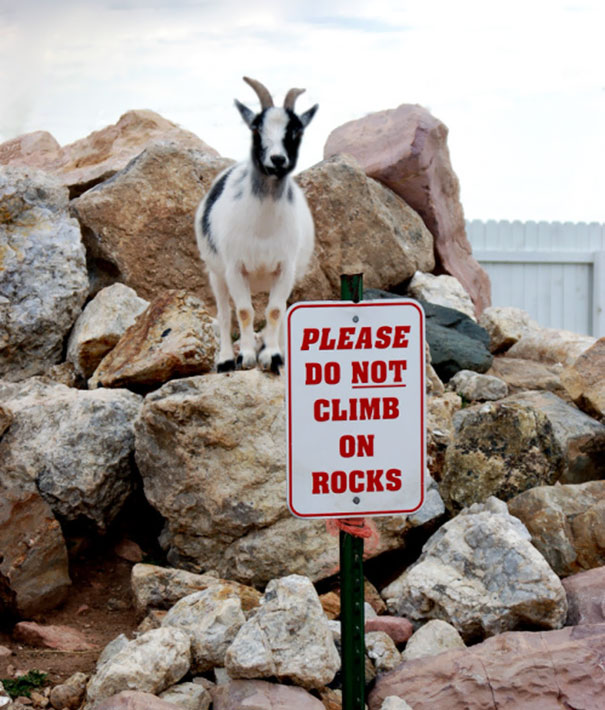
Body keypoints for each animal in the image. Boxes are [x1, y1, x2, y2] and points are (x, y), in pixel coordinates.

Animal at [194, 77, 318, 374]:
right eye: (256, 127)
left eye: (296, 130)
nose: (277, 159)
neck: (263, 227)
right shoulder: (235, 268)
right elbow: (243, 312)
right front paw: (247, 356)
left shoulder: (285, 268)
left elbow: (275, 311)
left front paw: (272, 356)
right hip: (215, 273)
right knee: (224, 314)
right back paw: (226, 359)